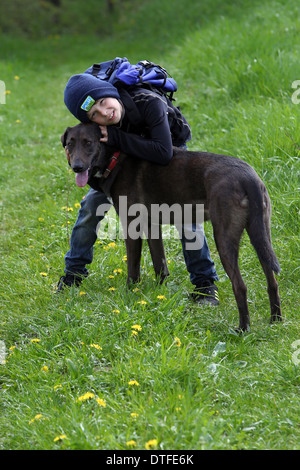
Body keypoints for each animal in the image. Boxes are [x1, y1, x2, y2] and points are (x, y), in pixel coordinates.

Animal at [61, 123, 282, 332]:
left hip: (224, 238)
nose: (77, 167)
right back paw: (275, 321)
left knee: (240, 286)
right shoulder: (151, 225)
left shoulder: (132, 225)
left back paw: (242, 329)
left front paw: (130, 295)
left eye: (89, 142)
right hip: (261, 234)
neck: (116, 157)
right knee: (272, 281)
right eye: (70, 143)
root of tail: (249, 177)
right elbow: (160, 265)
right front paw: (159, 296)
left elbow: (133, 268)